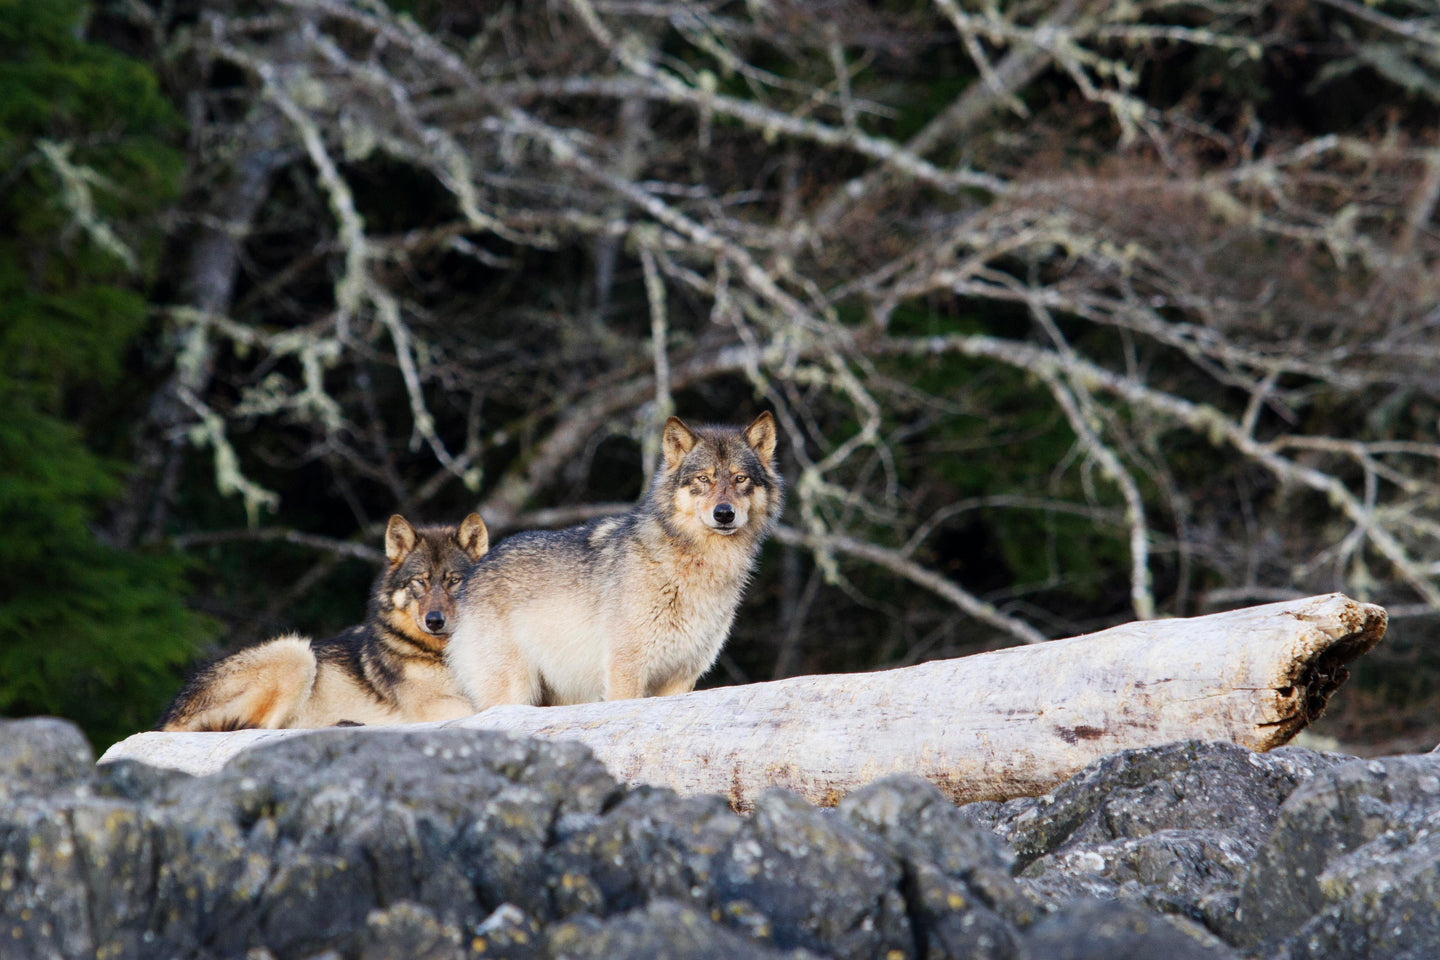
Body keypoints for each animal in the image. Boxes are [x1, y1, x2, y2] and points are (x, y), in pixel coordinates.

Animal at [155, 518, 486, 728]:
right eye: (420, 582)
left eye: (453, 581)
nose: (434, 621)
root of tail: (164, 720)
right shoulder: (433, 706)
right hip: (295, 653)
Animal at [449, 408, 789, 711]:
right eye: (703, 478)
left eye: (740, 478)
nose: (724, 513)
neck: (693, 564)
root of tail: (476, 572)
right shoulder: (626, 669)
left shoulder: (681, 676)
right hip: (515, 690)